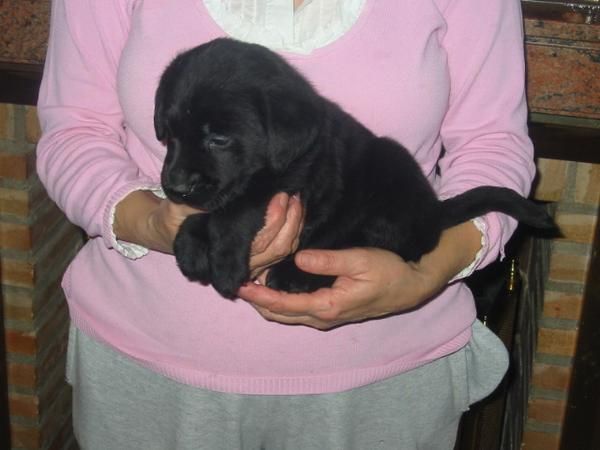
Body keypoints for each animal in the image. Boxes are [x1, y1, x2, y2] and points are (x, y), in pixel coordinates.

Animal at [155, 38, 552, 298]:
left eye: (219, 139)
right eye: (169, 134)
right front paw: (190, 243)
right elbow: (211, 211)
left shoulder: (293, 178)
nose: (176, 188)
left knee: (391, 245)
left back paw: (298, 272)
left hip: (390, 169)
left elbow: (236, 209)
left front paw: (224, 261)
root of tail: (433, 209)